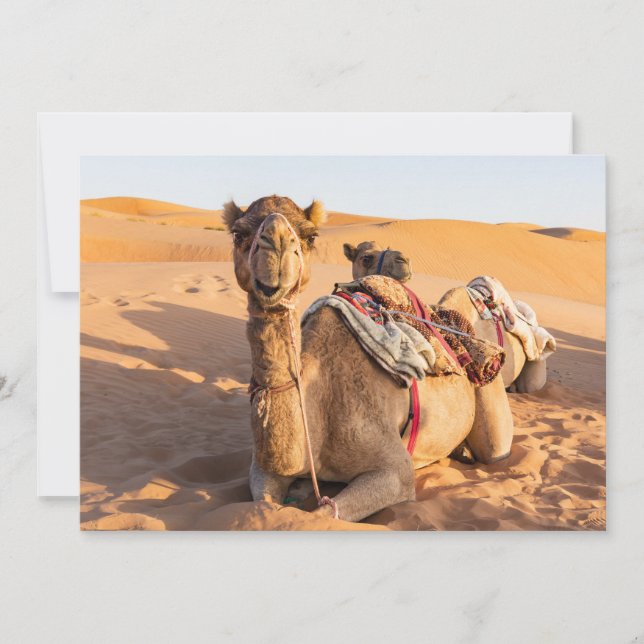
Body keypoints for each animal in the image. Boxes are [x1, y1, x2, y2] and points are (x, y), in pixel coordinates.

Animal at [225, 195, 513, 523]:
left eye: (310, 236)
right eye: (238, 234)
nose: (276, 247)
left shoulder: (395, 470)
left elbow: (321, 515)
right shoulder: (263, 469)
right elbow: (265, 504)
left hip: (490, 402)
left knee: (494, 448)